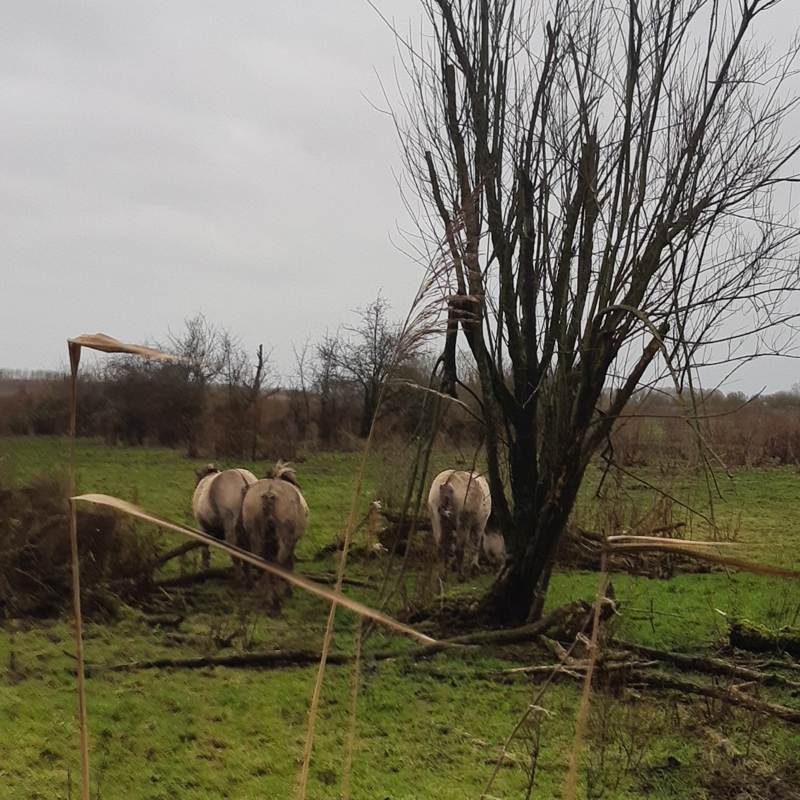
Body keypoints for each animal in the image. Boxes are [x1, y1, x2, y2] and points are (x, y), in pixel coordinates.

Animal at [241, 462, 310, 608]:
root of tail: (269, 493)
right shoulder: (291, 543)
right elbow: (289, 564)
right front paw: (288, 591)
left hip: (256, 537)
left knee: (260, 563)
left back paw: (264, 595)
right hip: (284, 541)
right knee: (279, 564)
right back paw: (276, 600)